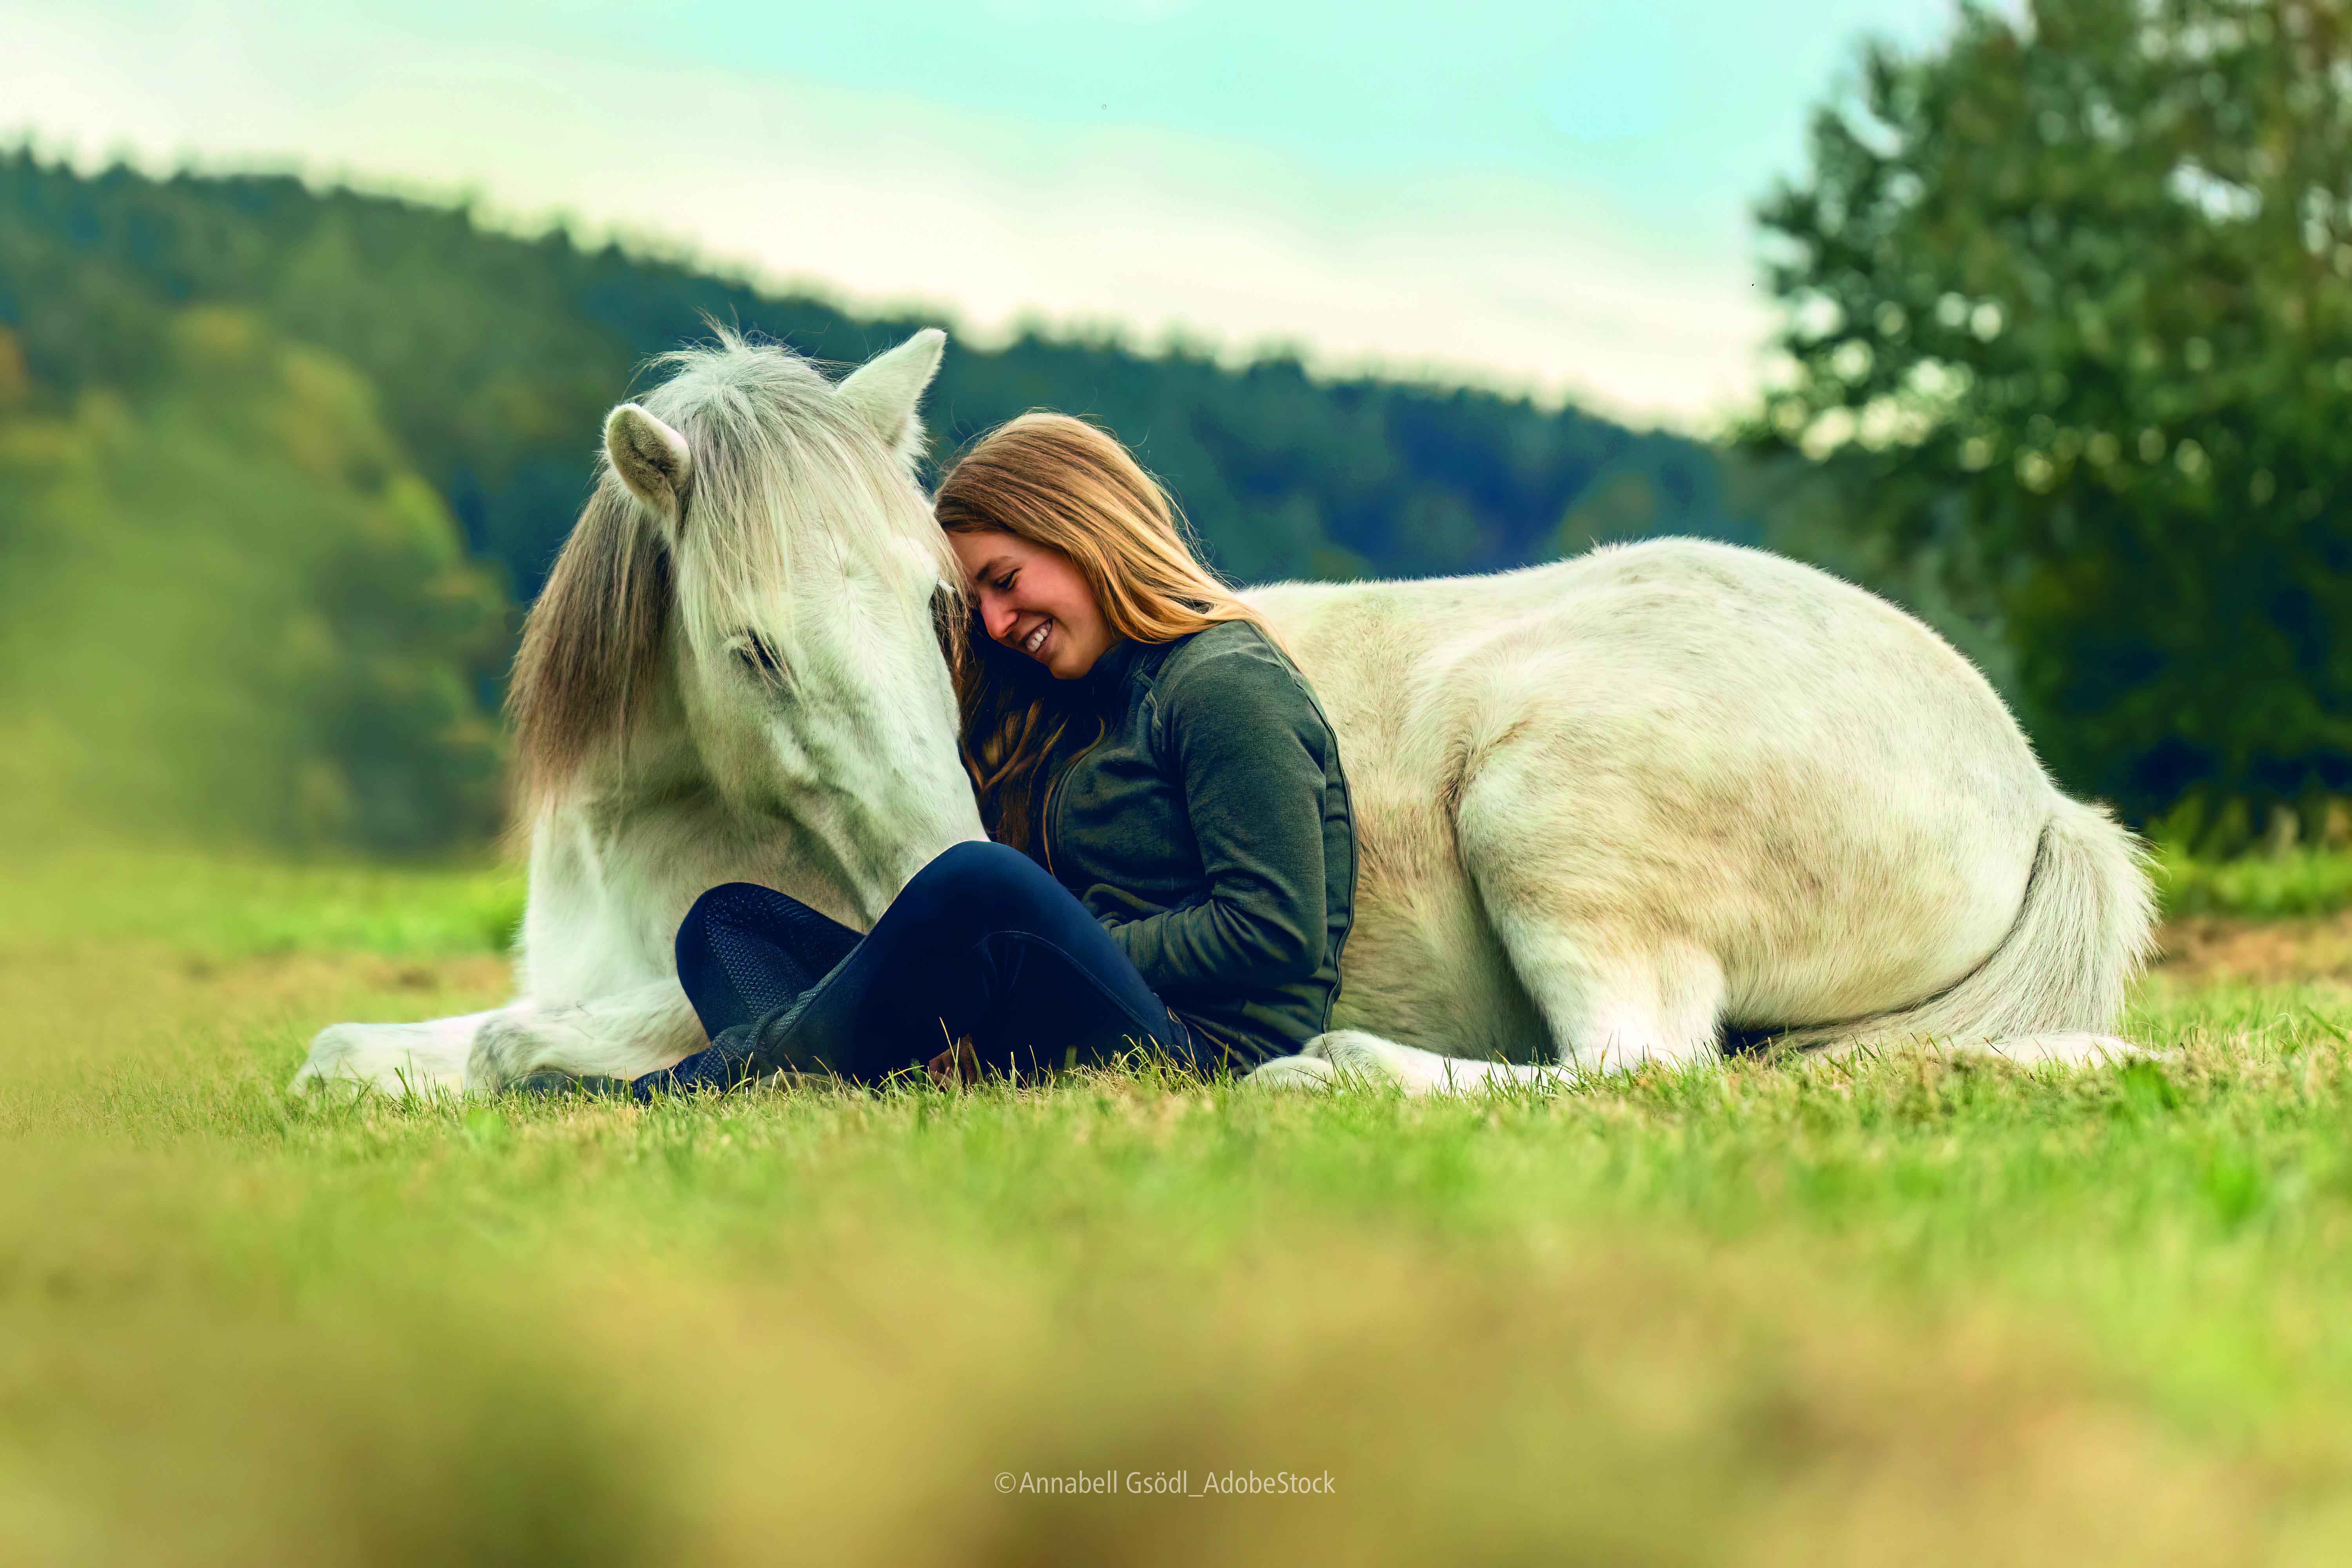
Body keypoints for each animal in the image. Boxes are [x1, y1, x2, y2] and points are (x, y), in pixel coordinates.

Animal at [294, 330, 2154, 1097]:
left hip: (1554, 825)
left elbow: (527, 1047)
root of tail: (2027, 789)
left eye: (936, 602)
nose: (944, 863)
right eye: (752, 651)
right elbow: (357, 1050)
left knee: (1631, 1069)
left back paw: (1339, 1074)